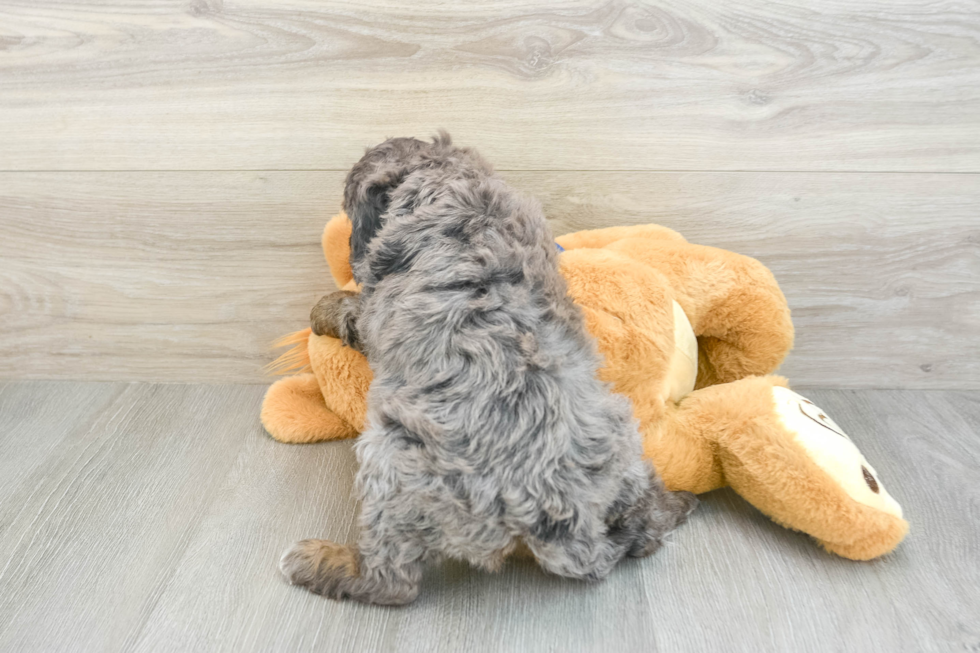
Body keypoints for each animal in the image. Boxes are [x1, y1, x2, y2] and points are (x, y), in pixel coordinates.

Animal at [280, 132, 700, 608]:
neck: (452, 184)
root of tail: (565, 522)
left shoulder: (375, 310)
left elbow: (349, 308)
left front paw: (323, 308)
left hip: (394, 468)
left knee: (393, 582)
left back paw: (324, 562)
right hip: (622, 441)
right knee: (644, 523)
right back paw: (674, 506)